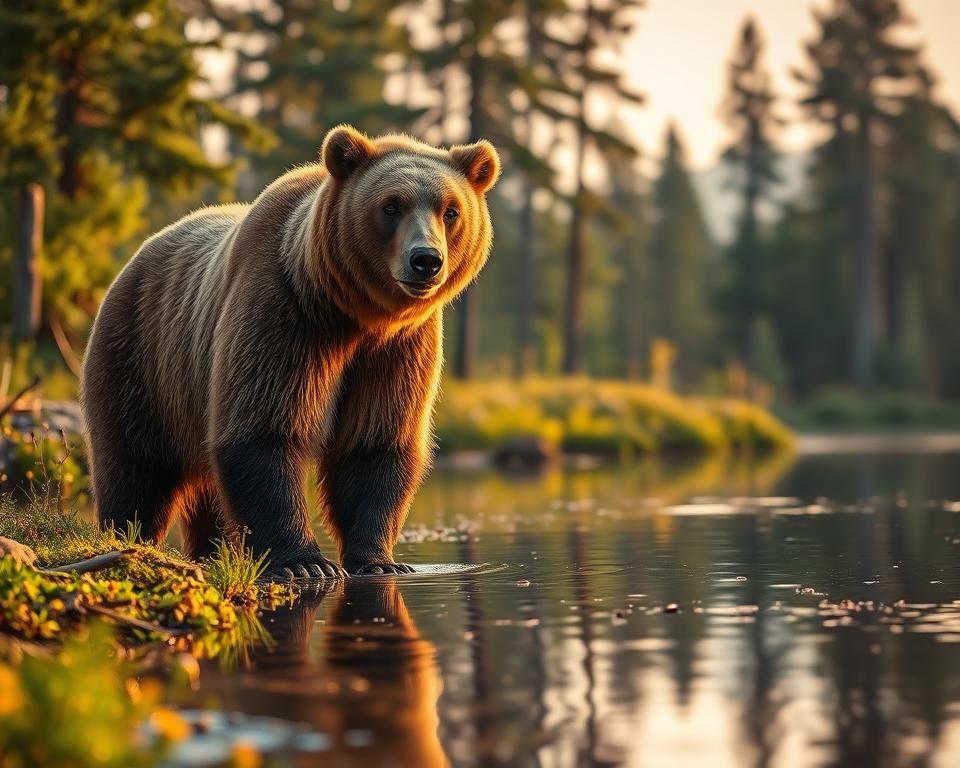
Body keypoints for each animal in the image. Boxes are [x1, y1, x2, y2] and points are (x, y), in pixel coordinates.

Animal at [81, 125, 500, 578]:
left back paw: (211, 552)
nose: (425, 260)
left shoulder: (398, 349)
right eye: (391, 206)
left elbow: (375, 442)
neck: (356, 315)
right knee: (135, 467)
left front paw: (379, 561)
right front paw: (306, 563)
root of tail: (139, 254)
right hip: (141, 356)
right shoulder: (286, 315)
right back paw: (125, 536)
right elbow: (263, 429)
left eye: (451, 210)